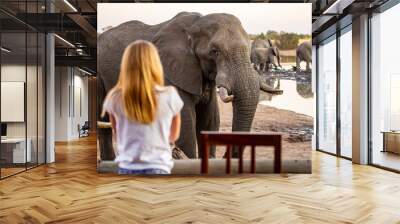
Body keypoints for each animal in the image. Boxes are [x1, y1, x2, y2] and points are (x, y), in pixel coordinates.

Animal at [98, 11, 282, 159]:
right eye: (215, 51)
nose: (226, 155)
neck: (194, 25)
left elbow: (209, 120)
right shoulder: (170, 72)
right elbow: (186, 125)